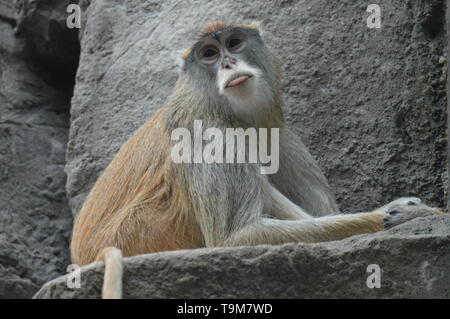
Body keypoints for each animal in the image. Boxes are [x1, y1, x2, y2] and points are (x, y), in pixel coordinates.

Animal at [70, 21, 442, 298]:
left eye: (234, 43)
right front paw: (405, 213)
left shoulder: (279, 132)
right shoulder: (211, 136)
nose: (228, 63)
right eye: (209, 54)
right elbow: (235, 238)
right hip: (145, 231)